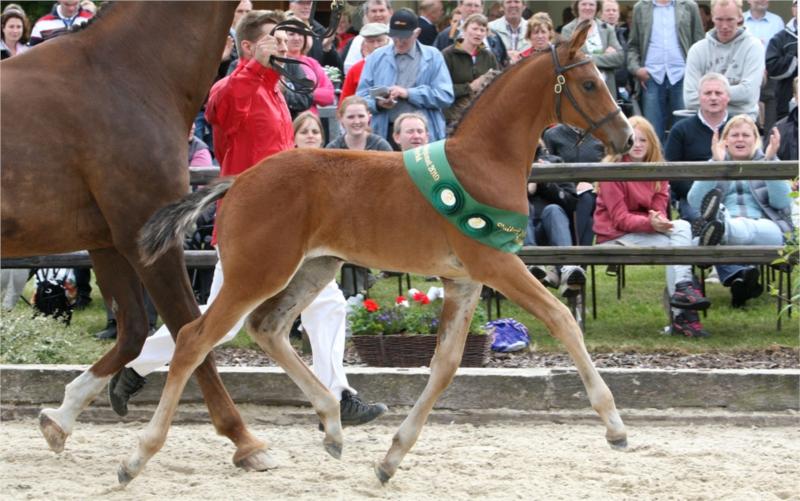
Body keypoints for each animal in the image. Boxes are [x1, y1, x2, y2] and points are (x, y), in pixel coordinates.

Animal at [0, 0, 272, 468]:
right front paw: (244, 440)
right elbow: (189, 329)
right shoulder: (149, 237)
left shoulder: (108, 242)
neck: (129, 73)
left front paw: (60, 418)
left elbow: (134, 331)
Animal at [122, 20, 636, 484]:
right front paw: (615, 427)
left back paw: (332, 424)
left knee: (267, 328)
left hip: (314, 267)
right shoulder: (496, 263)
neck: (484, 163)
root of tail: (239, 180)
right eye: (589, 83)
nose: (627, 139)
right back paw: (137, 457)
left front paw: (390, 460)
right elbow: (562, 318)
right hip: (258, 272)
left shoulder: (465, 281)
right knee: (194, 339)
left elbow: (446, 365)